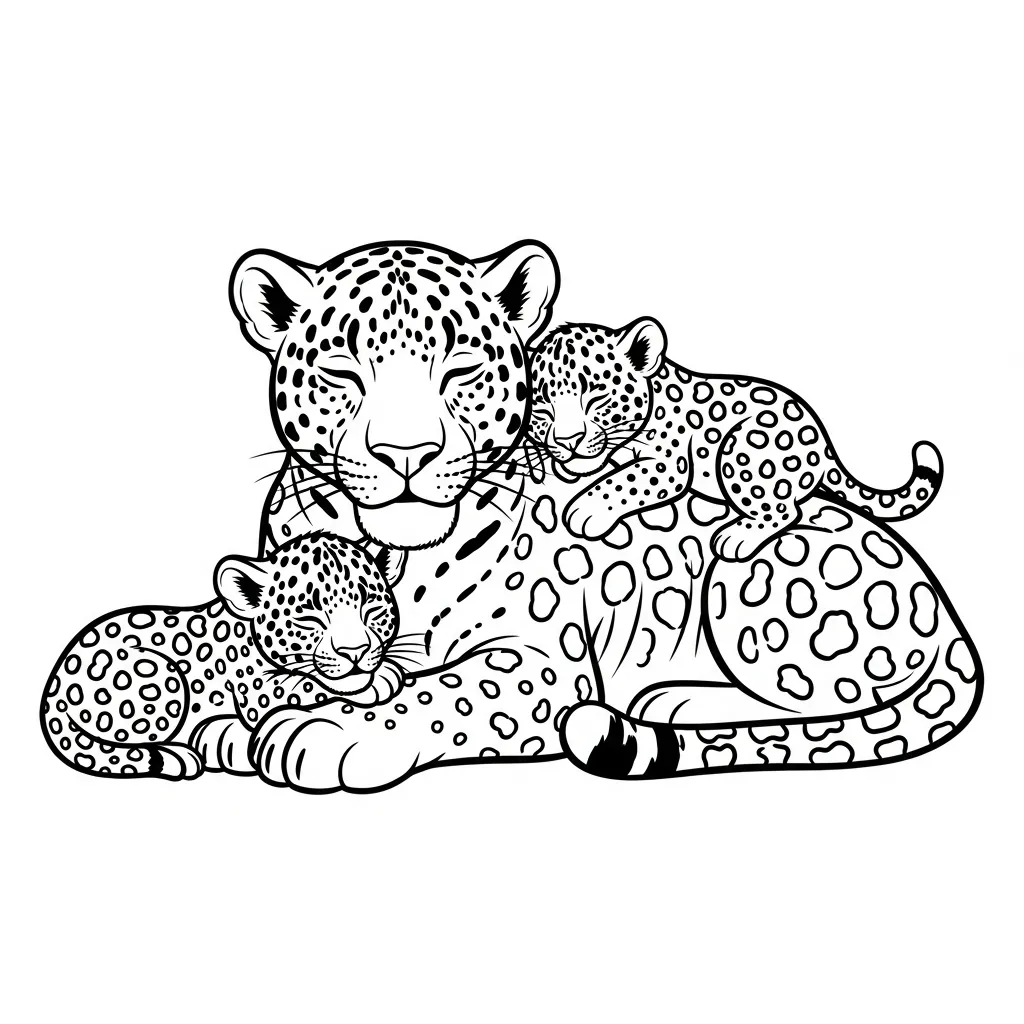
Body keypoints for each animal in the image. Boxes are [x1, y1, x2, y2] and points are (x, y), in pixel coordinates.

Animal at [40, 533, 408, 780]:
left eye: (372, 608)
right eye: (308, 618)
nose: (355, 652)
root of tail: (54, 690)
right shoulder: (259, 691)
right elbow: (309, 684)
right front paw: (379, 681)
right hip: (164, 678)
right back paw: (180, 755)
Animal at [527, 318, 943, 561]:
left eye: (597, 396)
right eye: (542, 404)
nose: (567, 439)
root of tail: (824, 447)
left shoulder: (668, 465)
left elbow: (623, 482)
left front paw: (586, 510)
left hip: (742, 447)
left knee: (786, 511)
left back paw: (737, 537)